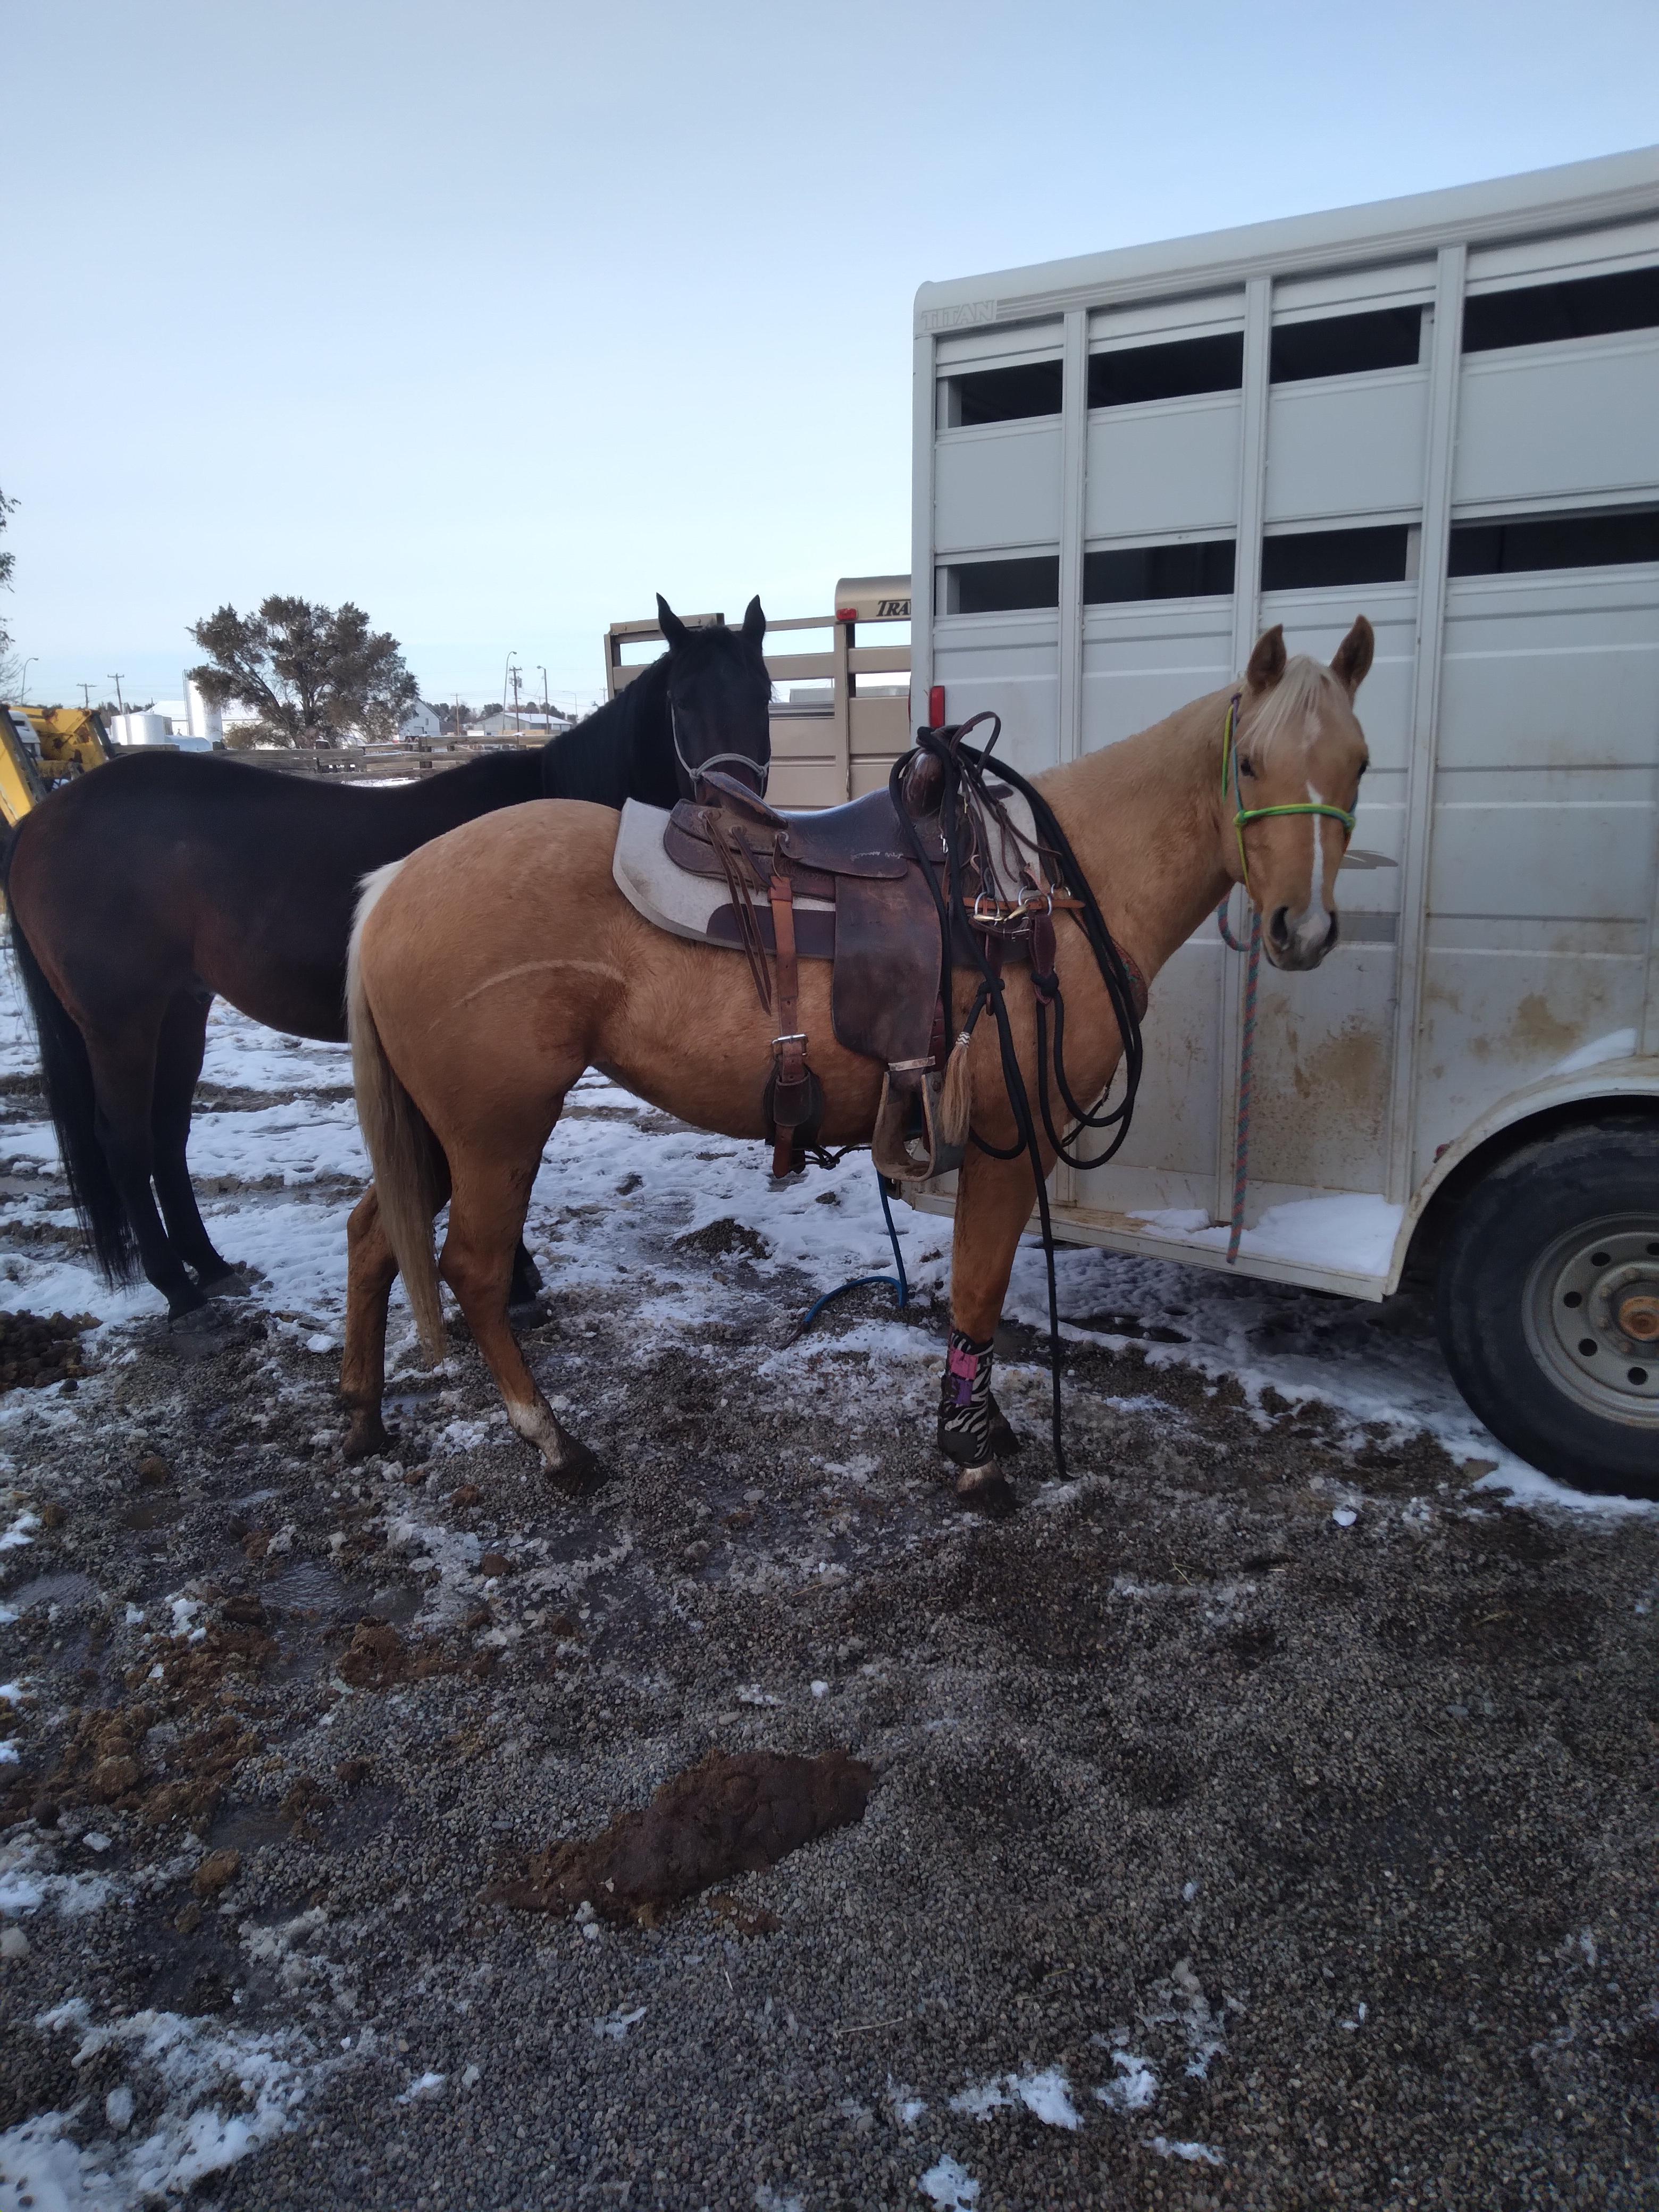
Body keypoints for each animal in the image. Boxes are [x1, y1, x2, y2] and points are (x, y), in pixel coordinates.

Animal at [2, 595, 772, 1321]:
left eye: (763, 692)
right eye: (681, 702)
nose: (735, 820)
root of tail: (40, 822)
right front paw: (516, 1285)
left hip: (182, 1007)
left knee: (168, 1133)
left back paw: (211, 1266)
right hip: (119, 1019)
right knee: (125, 1138)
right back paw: (178, 1289)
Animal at [340, 619, 1373, 1495]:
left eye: (1359, 763)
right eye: (1251, 763)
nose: (1306, 930)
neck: (1043, 896)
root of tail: (395, 885)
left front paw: (979, 1431)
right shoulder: (1011, 1139)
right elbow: (981, 1287)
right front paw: (971, 1451)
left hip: (438, 1135)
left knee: (375, 1237)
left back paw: (363, 1417)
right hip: (497, 1132)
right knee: (472, 1270)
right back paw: (554, 1444)